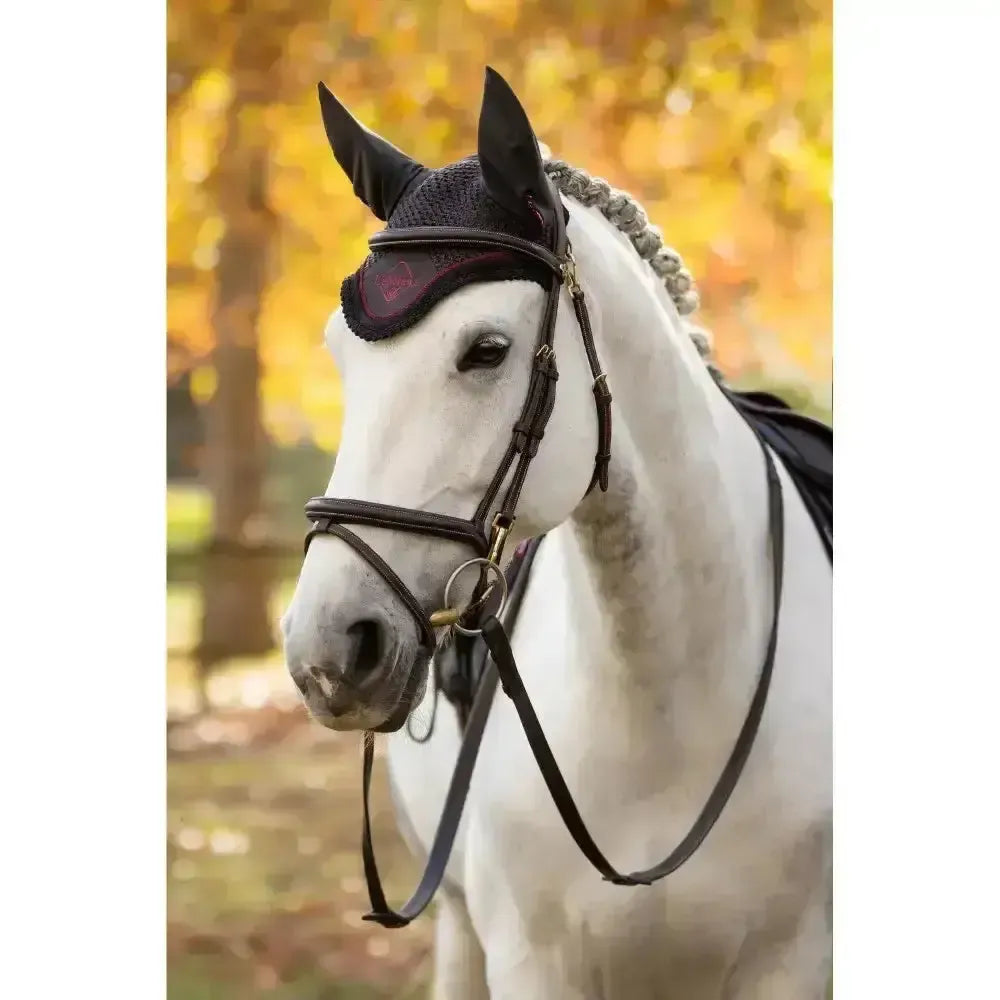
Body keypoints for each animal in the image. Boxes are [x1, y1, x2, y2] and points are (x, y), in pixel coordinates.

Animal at [281, 67, 832, 1000]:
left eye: (487, 349)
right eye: (339, 356)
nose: (328, 650)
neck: (665, 710)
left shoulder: (790, 967)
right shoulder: (531, 962)